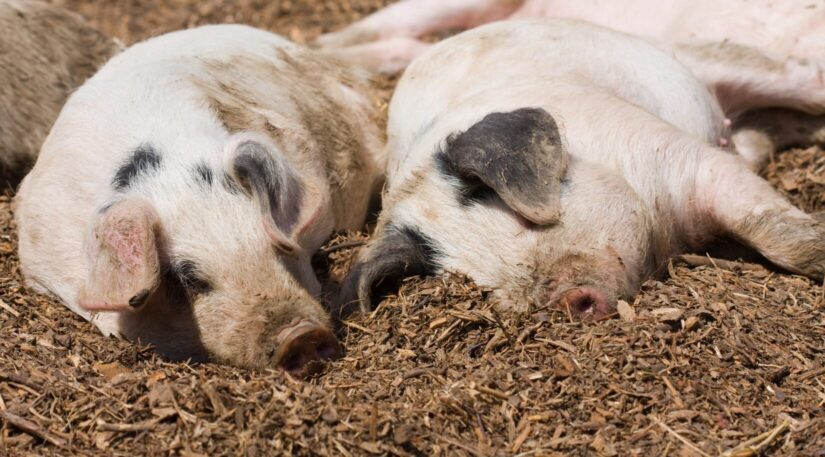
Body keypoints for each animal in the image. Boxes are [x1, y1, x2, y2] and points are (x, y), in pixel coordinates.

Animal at [334, 19, 824, 318]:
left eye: (525, 223)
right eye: (477, 282)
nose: (569, 300)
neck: (670, 236)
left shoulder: (681, 156)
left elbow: (774, 230)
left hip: (717, 62)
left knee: (799, 78)